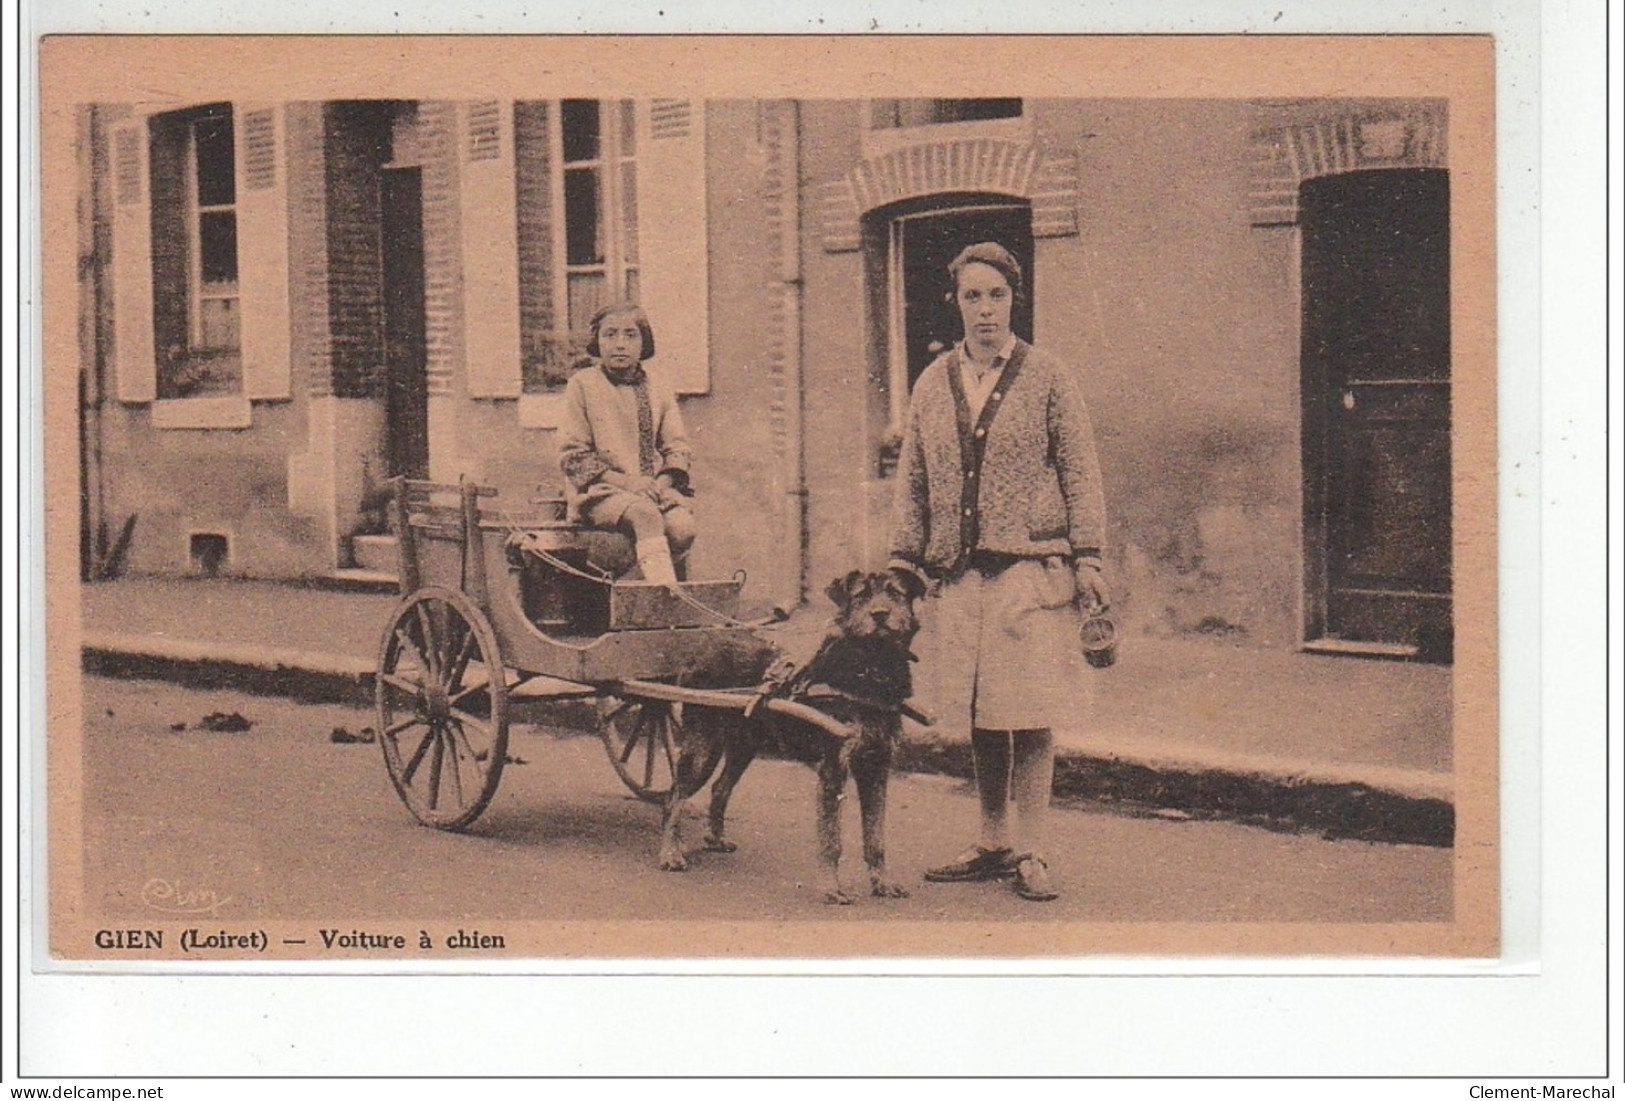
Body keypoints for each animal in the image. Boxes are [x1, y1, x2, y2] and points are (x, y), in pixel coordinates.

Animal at [653, 568, 923, 902]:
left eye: (895, 591)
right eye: (861, 594)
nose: (880, 614)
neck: (870, 670)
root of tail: (704, 647)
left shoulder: (876, 765)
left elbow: (875, 836)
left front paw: (882, 883)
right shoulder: (833, 768)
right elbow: (832, 839)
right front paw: (831, 887)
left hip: (743, 746)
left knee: (719, 788)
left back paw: (715, 838)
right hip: (702, 746)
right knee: (674, 797)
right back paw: (670, 853)